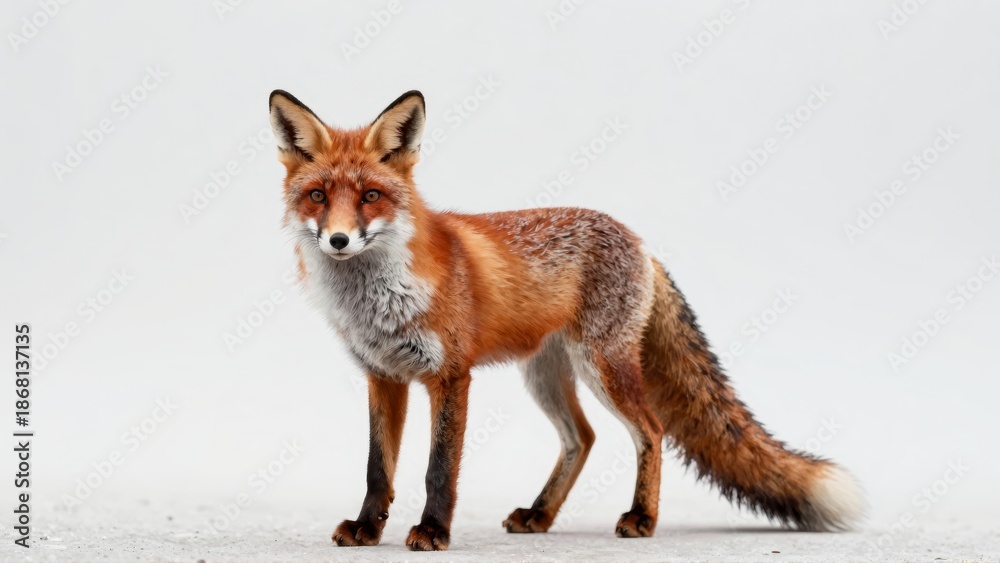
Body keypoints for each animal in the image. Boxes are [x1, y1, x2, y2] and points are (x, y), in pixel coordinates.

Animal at [268, 89, 865, 551]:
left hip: (603, 366)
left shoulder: (450, 375)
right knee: (583, 437)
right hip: (545, 374)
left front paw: (434, 531)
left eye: (371, 196)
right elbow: (378, 469)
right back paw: (540, 515)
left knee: (649, 431)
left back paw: (642, 518)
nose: (338, 240)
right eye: (317, 196)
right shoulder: (384, 376)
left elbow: (440, 468)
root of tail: (641, 244)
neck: (378, 301)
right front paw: (368, 529)